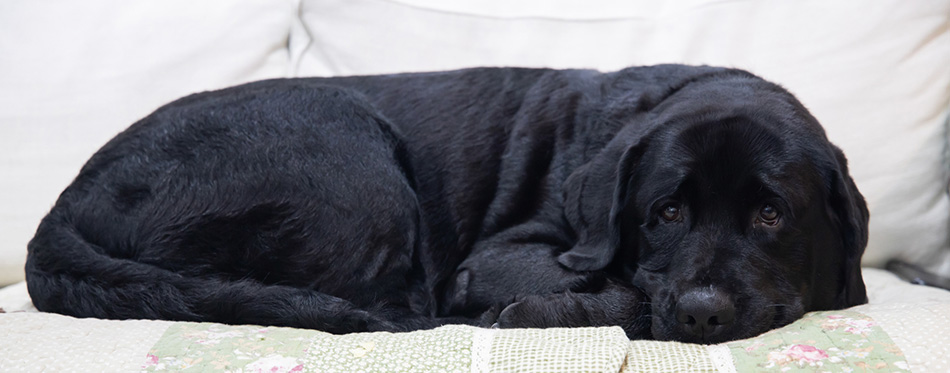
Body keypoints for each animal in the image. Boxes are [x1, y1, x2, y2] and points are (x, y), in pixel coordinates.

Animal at [24, 64, 872, 342]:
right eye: (664, 212)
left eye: (771, 214)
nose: (701, 311)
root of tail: (62, 204)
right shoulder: (496, 258)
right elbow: (623, 284)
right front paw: (546, 311)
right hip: (354, 157)